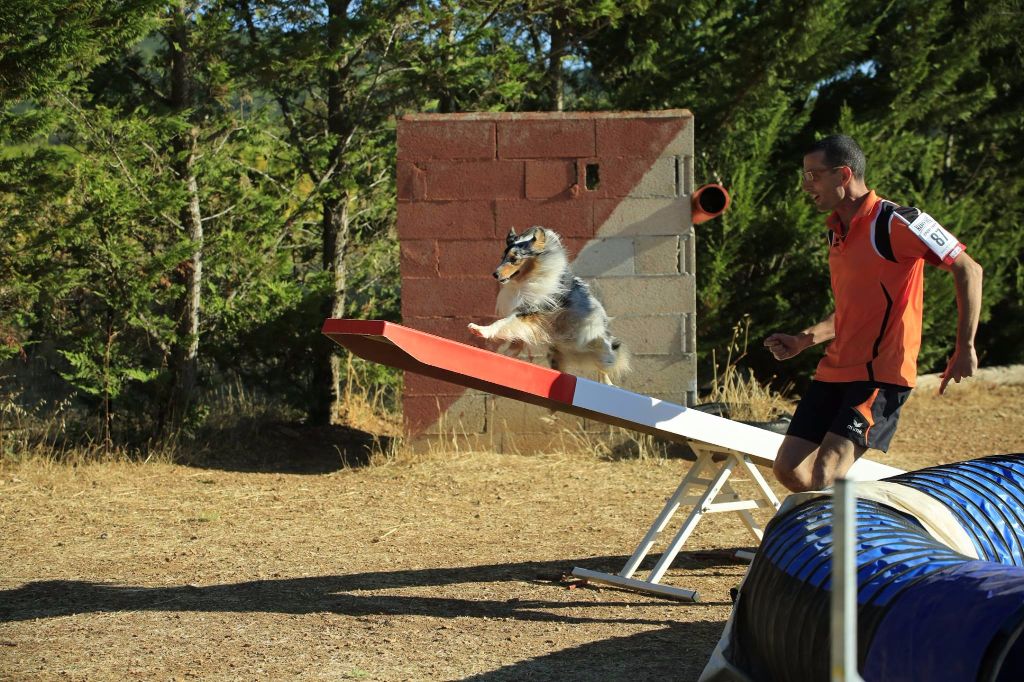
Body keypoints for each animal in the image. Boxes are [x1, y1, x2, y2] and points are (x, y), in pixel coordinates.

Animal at [468, 224, 626, 378]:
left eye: (514, 259)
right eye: (502, 258)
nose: (494, 274)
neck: (527, 279)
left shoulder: (531, 309)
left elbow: (503, 322)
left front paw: (481, 330)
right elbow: (515, 338)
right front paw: (504, 355)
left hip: (597, 342)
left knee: (605, 364)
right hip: (556, 353)